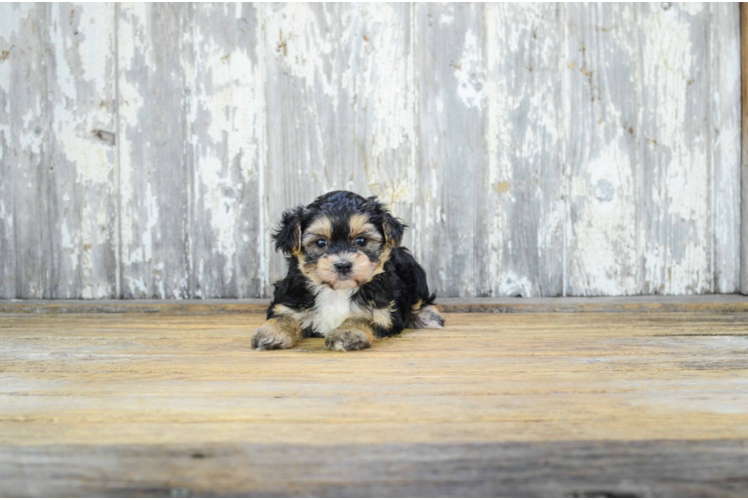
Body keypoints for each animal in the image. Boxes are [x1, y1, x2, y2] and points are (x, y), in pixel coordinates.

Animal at [251, 191, 444, 352]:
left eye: (361, 241)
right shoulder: (289, 300)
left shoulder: (384, 312)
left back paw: (427, 317)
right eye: (321, 243)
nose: (343, 265)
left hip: (413, 272)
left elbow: (363, 318)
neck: (337, 291)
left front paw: (346, 334)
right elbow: (284, 316)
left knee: (421, 300)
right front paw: (271, 333)